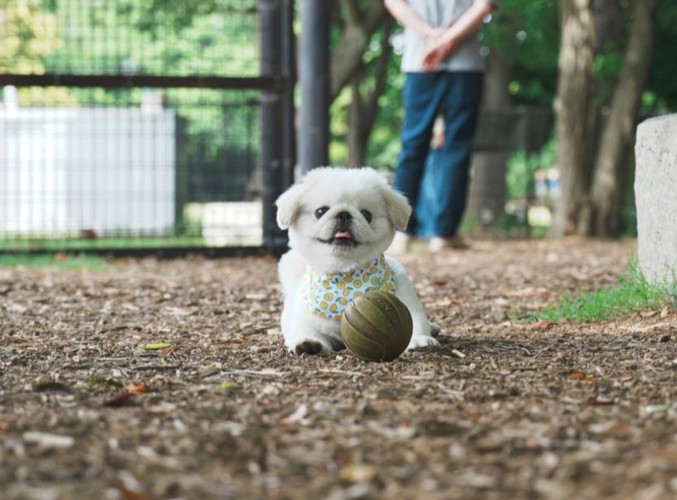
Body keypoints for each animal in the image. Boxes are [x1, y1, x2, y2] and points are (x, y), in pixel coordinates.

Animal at [272, 168, 440, 356]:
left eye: (367, 214)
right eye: (320, 211)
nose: (344, 214)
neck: (345, 279)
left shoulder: (408, 302)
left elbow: (416, 322)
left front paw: (420, 340)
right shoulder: (305, 319)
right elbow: (305, 330)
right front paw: (308, 343)